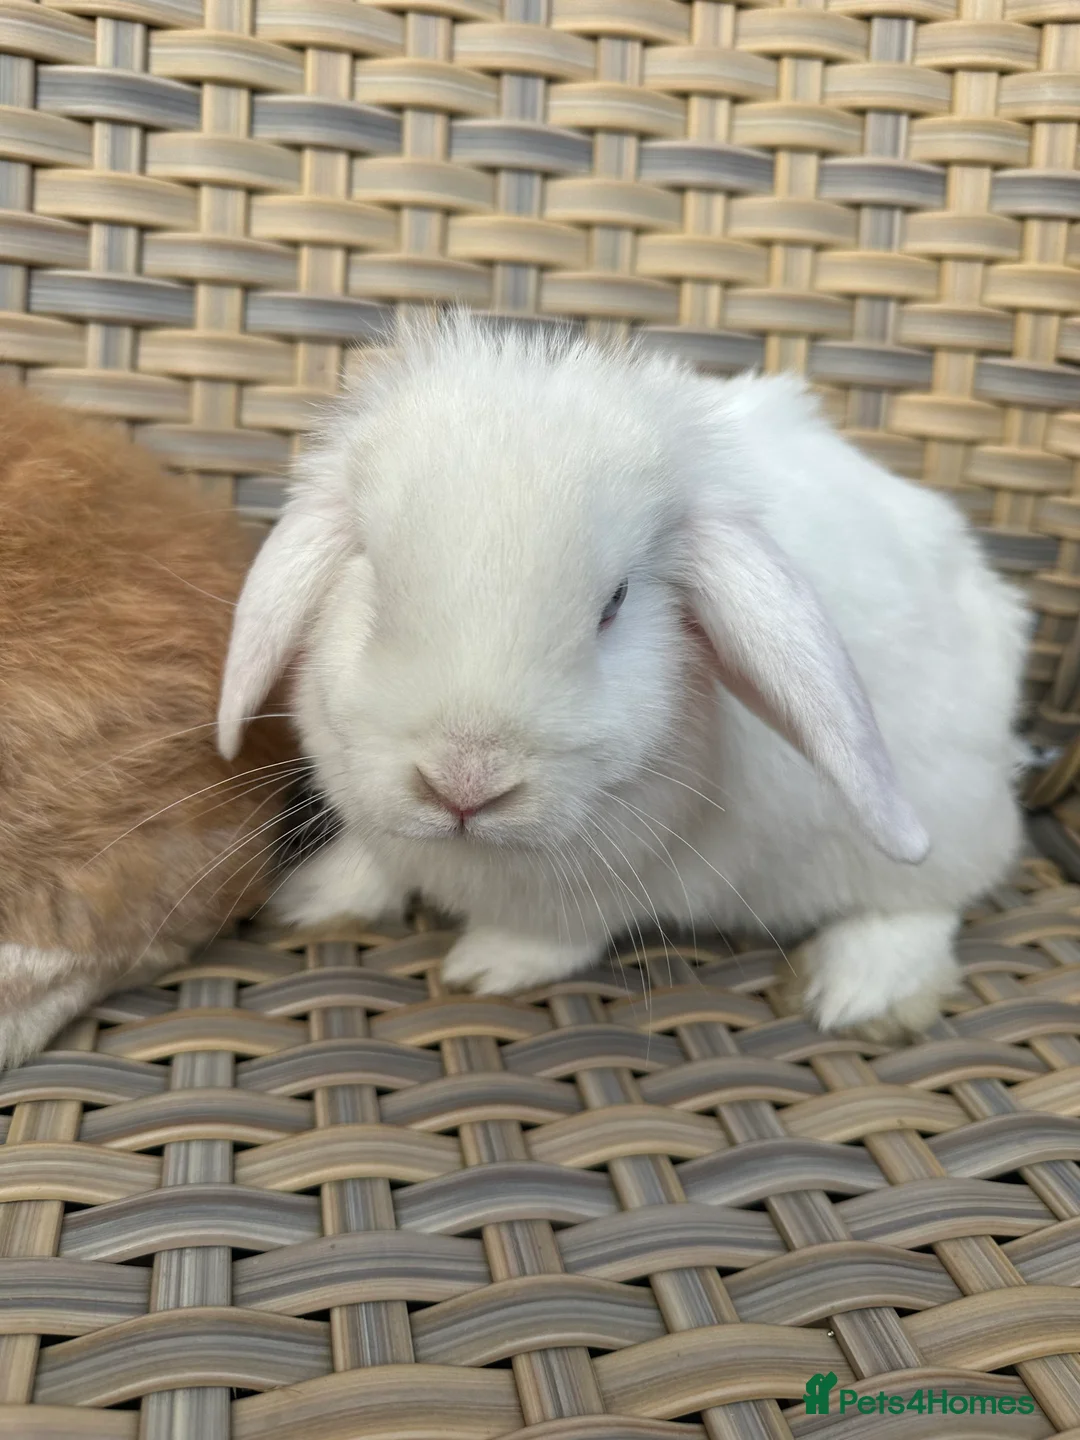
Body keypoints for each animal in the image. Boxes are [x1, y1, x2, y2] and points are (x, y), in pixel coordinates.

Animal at [218, 313, 1029, 1040]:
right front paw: (316, 894)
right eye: (376, 580)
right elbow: (374, 864)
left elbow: (558, 934)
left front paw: (487, 966)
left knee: (934, 896)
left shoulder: (612, 883)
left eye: (615, 602)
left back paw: (858, 990)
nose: (464, 785)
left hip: (931, 815)